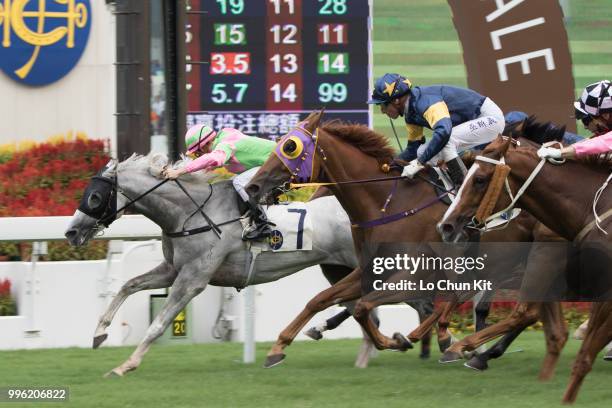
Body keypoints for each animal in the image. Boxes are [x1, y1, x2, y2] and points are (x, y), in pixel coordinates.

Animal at [65, 154, 370, 376]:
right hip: (337, 269)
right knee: (361, 309)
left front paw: (125, 365)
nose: (70, 232)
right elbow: (129, 285)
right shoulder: (173, 269)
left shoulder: (193, 278)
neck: (190, 214)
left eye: (94, 197)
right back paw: (362, 352)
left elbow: (158, 324)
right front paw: (99, 333)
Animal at [245, 112, 540, 370]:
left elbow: (363, 306)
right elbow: (319, 299)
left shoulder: (413, 273)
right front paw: (278, 348)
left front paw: (394, 341)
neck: (386, 203)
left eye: (290, 147)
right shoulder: (370, 270)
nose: (253, 186)